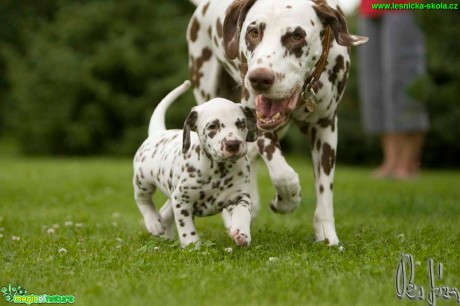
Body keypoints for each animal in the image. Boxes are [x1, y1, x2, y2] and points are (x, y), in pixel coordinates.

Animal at [132, 80, 258, 247]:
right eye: (213, 126)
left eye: (241, 124)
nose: (233, 144)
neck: (218, 171)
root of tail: (158, 132)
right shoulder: (181, 201)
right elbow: (186, 227)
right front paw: (192, 245)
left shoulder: (239, 197)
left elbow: (243, 213)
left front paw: (241, 232)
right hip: (143, 181)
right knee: (143, 200)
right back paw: (154, 223)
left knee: (165, 212)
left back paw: (165, 234)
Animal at [185, 0, 368, 244]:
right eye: (253, 31)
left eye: (297, 35)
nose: (259, 78)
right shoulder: (258, 123)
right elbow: (284, 174)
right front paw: (286, 201)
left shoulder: (326, 128)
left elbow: (325, 190)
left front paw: (327, 234)